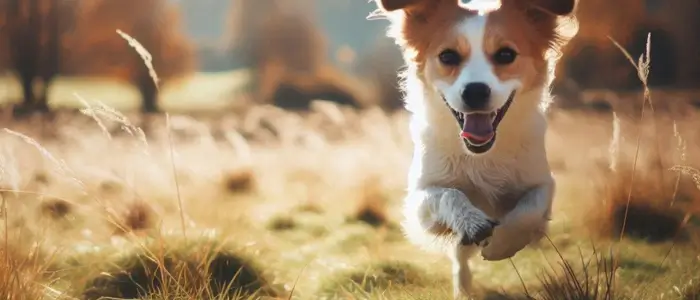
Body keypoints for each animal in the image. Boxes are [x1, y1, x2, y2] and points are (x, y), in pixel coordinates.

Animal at [372, 0, 580, 298]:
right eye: (448, 56)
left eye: (506, 54)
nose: (475, 91)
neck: (481, 154)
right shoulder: (421, 197)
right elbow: (449, 195)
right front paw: (472, 221)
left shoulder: (541, 182)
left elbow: (530, 209)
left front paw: (502, 243)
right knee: (460, 260)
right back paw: (463, 288)